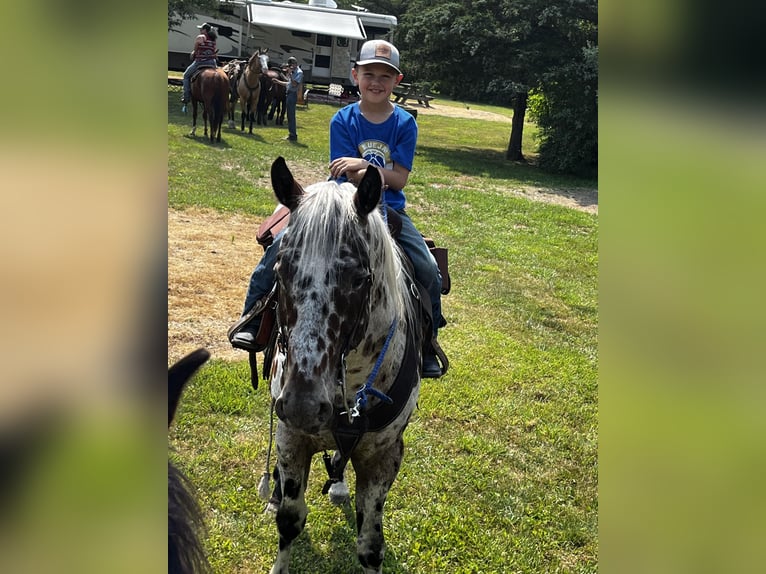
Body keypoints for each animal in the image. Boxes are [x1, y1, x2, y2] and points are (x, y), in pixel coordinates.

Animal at [264, 158, 426, 574]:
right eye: (280, 269)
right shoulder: (291, 439)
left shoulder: (385, 456)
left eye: (359, 278)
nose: (303, 406)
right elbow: (289, 520)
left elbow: (370, 544)